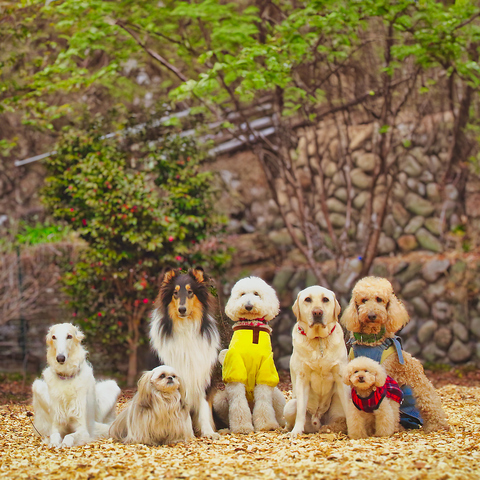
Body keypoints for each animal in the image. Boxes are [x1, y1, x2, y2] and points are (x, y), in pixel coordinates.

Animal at [149, 268, 220, 436]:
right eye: (175, 293)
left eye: (190, 292)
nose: (182, 309)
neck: (186, 327)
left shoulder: (202, 376)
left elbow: (204, 408)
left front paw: (208, 432)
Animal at [213, 276, 284, 434]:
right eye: (242, 294)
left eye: (256, 294)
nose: (248, 306)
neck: (252, 327)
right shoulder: (235, 369)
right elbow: (239, 402)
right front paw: (242, 427)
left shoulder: (265, 370)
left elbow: (263, 401)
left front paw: (266, 425)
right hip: (220, 400)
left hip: (277, 396)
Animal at [284, 286, 348, 436]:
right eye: (308, 299)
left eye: (325, 299)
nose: (317, 312)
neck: (319, 340)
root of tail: (317, 421)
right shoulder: (302, 378)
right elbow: (301, 411)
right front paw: (296, 431)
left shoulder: (341, 377)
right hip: (290, 405)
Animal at [344, 276, 448, 434]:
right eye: (363, 300)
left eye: (379, 299)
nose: (372, 315)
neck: (371, 342)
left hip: (419, 384)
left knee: (429, 401)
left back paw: (436, 425)